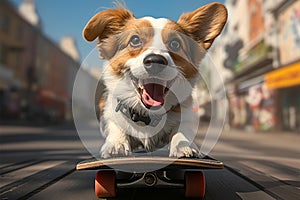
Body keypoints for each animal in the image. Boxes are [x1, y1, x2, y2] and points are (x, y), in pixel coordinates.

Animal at [82, 1, 227, 158]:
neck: (148, 115)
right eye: (135, 40)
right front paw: (117, 144)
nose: (155, 60)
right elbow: (116, 126)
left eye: (175, 43)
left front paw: (183, 145)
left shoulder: (186, 118)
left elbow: (182, 131)